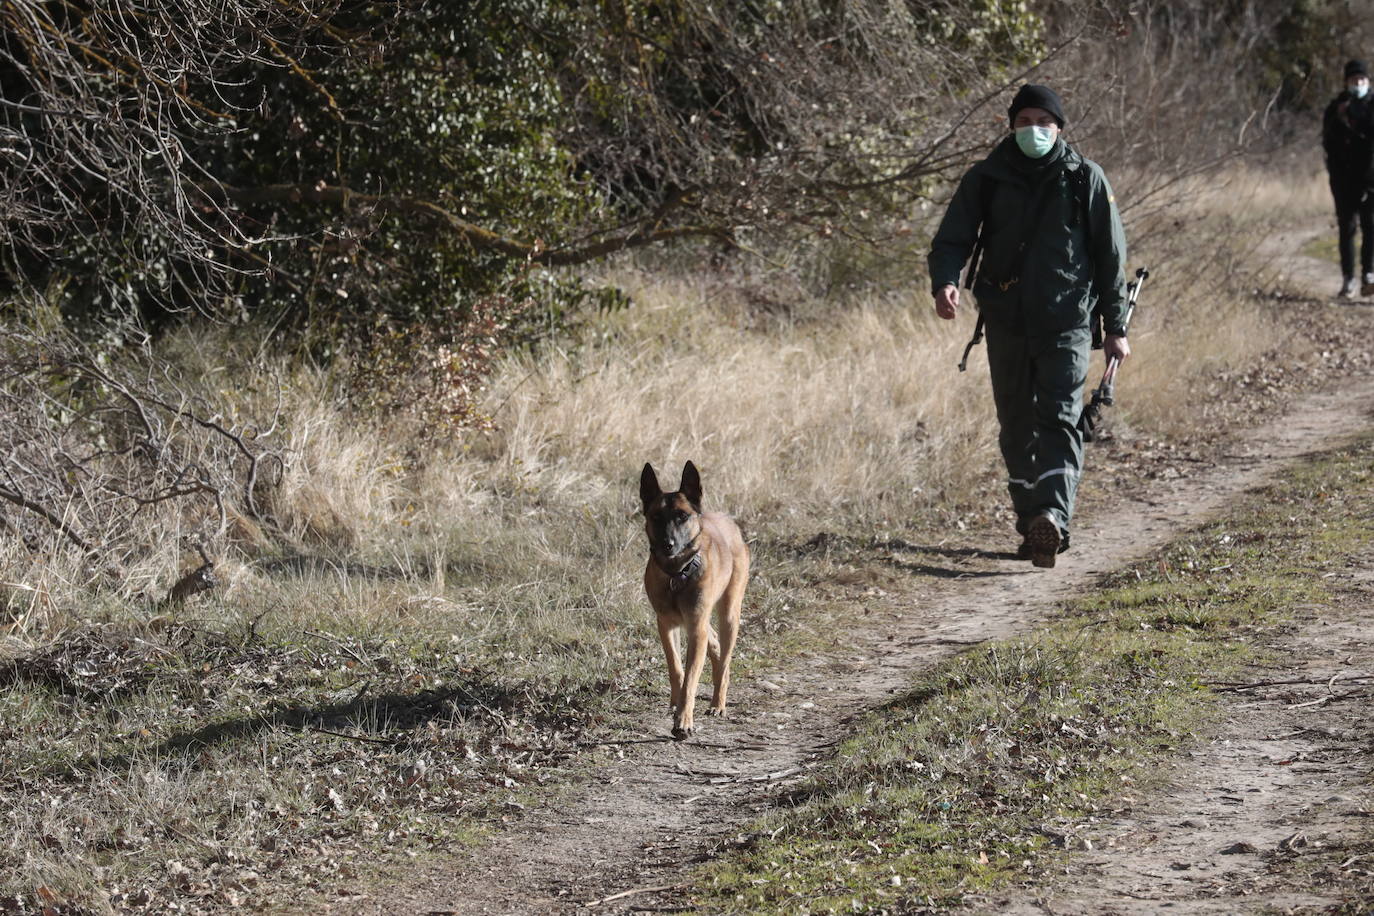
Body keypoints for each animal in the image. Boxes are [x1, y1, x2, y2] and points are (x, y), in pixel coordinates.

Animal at [640, 461, 752, 741]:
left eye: (682, 516)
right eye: (656, 517)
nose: (668, 544)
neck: (677, 574)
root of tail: (728, 521)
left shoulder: (695, 626)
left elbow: (691, 678)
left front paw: (683, 721)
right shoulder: (666, 625)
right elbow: (676, 668)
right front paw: (675, 703)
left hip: (729, 614)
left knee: (724, 661)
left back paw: (718, 704)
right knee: (713, 643)